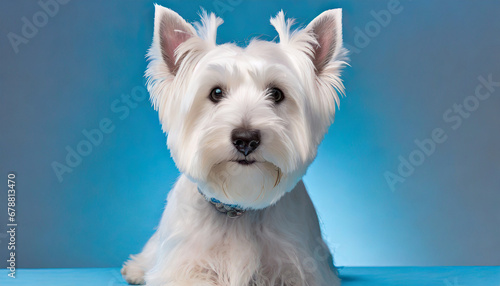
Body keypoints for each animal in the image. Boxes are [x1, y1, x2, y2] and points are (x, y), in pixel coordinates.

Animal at [121, 5, 348, 286]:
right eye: (216, 93)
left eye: (276, 93)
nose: (246, 139)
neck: (240, 207)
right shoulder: (184, 267)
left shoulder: (301, 268)